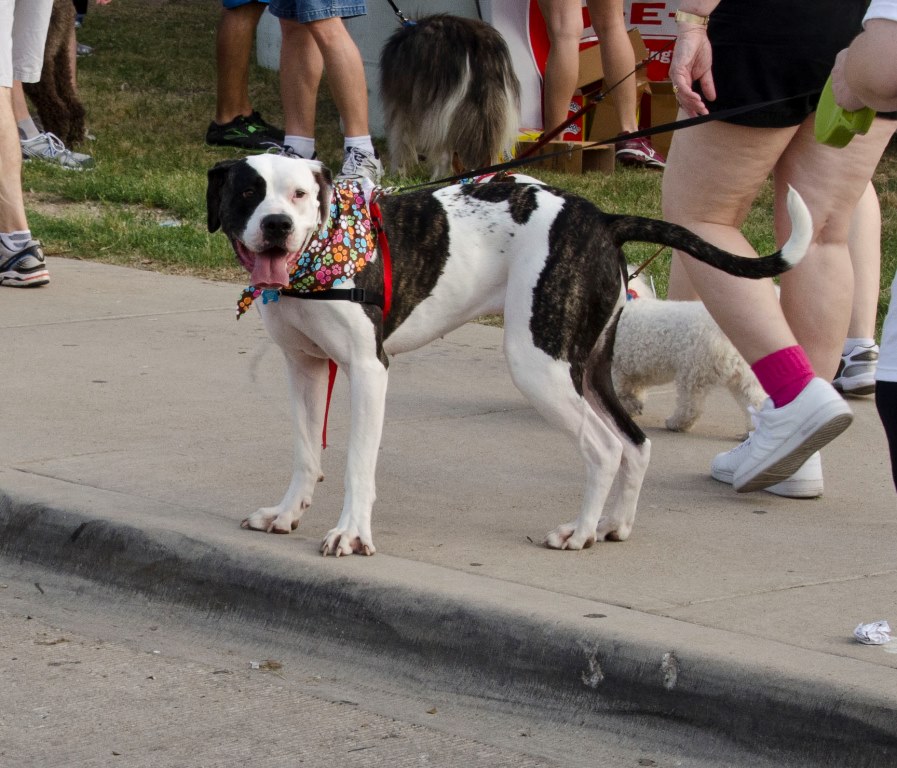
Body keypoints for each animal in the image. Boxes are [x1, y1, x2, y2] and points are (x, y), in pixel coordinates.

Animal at [206, 154, 811, 556]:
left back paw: (579, 532)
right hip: (588, 367)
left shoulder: (368, 372)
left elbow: (357, 462)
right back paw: (612, 525)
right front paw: (287, 513)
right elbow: (307, 452)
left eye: (299, 195)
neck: (321, 251)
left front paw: (352, 533)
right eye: (248, 194)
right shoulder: (306, 369)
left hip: (538, 363)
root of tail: (601, 217)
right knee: (634, 443)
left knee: (603, 447)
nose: (277, 225)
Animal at [379, 14, 520, 179]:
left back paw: (437, 178)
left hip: (438, 111)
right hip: (497, 108)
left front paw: (397, 174)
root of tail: (476, 45)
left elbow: (400, 141)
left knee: (443, 152)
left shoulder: (401, 104)